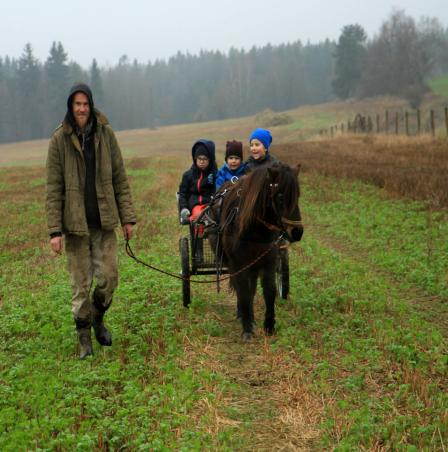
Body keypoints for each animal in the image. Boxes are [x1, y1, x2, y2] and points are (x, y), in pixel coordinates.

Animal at [211, 162, 304, 340]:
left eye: (298, 195)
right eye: (280, 197)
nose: (297, 232)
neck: (253, 229)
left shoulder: (268, 262)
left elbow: (269, 291)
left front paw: (269, 325)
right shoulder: (239, 265)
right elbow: (243, 292)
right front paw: (247, 328)